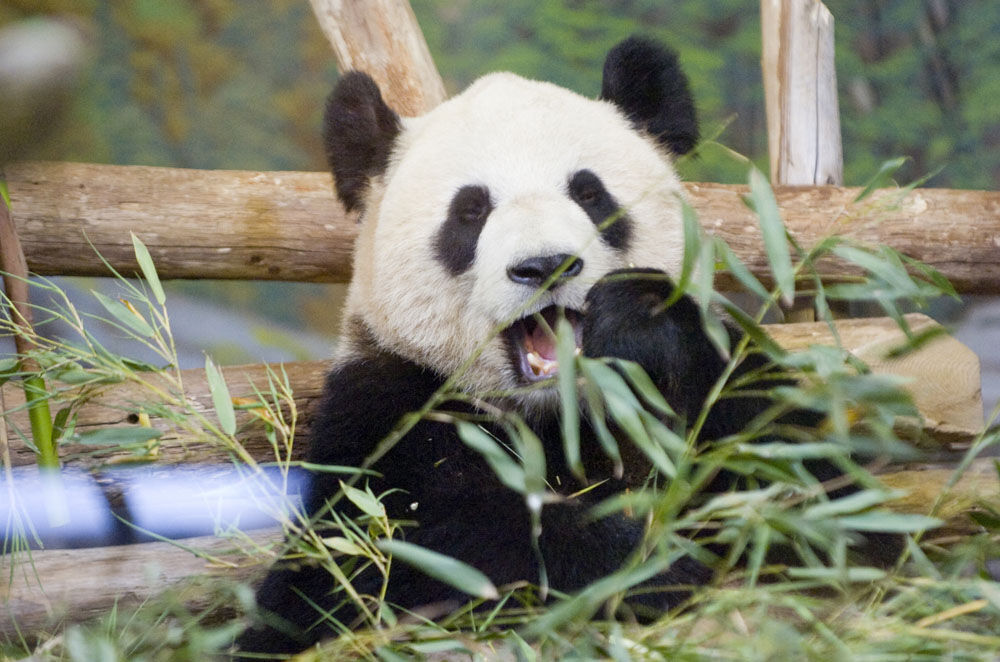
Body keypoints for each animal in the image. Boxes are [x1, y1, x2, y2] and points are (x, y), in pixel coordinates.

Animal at [236, 37, 900, 656]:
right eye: (470, 211)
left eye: (588, 193)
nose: (545, 265)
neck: (564, 419)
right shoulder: (387, 411)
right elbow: (365, 568)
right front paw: (641, 567)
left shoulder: (739, 388)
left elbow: (831, 515)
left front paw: (638, 323)